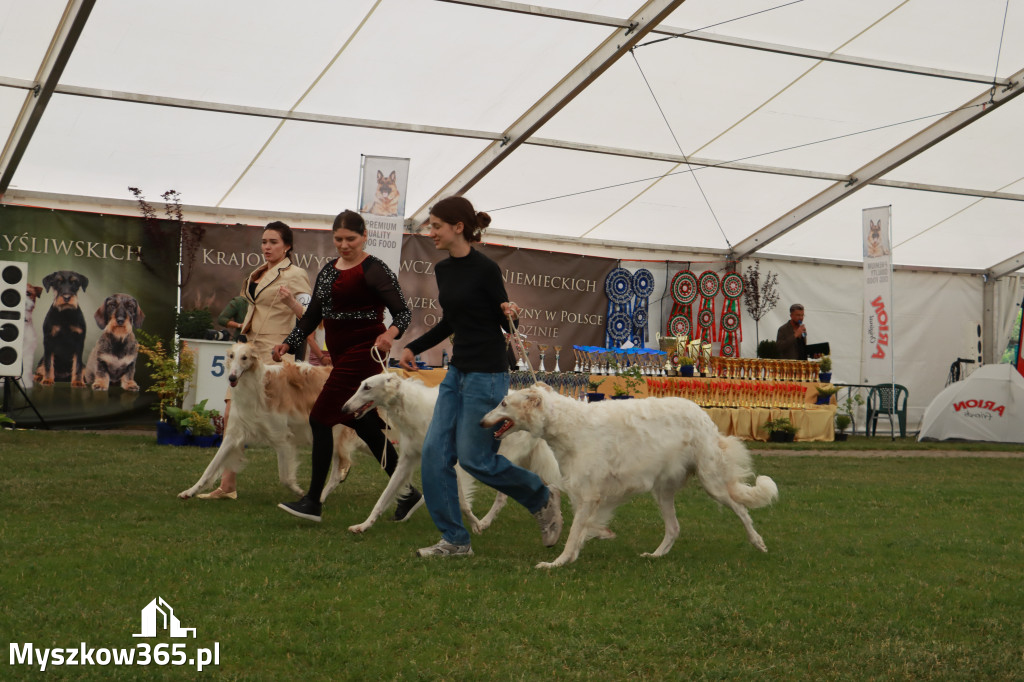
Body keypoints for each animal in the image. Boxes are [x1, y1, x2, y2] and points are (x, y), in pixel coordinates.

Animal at [178, 342, 362, 501]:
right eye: (231, 356)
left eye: (244, 357)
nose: (232, 377)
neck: (257, 387)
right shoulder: (235, 433)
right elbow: (211, 467)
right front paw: (190, 491)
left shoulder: (282, 437)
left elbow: (285, 478)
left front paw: (299, 491)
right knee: (339, 471)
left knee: (338, 471)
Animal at [342, 368, 561, 532]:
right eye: (361, 385)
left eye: (367, 387)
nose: (344, 409)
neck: (412, 407)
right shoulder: (407, 459)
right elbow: (384, 497)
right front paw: (363, 525)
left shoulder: (450, 462)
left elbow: (462, 502)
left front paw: (473, 524)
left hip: (500, 456)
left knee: (508, 494)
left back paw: (486, 522)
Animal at [479, 382, 774, 569]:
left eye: (503, 402)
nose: (480, 422)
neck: (569, 425)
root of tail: (703, 414)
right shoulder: (583, 493)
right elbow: (583, 529)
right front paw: (587, 544)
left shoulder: (589, 494)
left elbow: (574, 533)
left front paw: (556, 563)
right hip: (663, 490)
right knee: (674, 528)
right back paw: (655, 555)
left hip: (711, 482)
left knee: (741, 509)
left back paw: (758, 542)